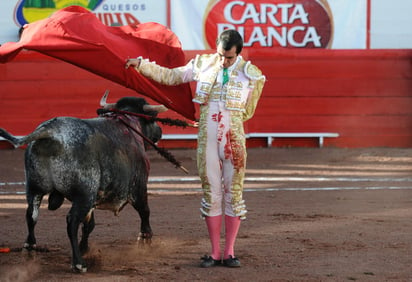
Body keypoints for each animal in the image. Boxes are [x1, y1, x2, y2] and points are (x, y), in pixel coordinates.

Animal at [0, 93, 167, 274]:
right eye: (153, 118)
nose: (160, 132)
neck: (128, 123)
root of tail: (49, 133)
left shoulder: (94, 198)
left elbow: (89, 224)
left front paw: (84, 247)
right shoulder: (138, 188)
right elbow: (145, 211)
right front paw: (145, 239)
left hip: (35, 187)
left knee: (31, 214)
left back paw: (30, 248)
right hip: (84, 193)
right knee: (72, 221)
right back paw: (79, 263)